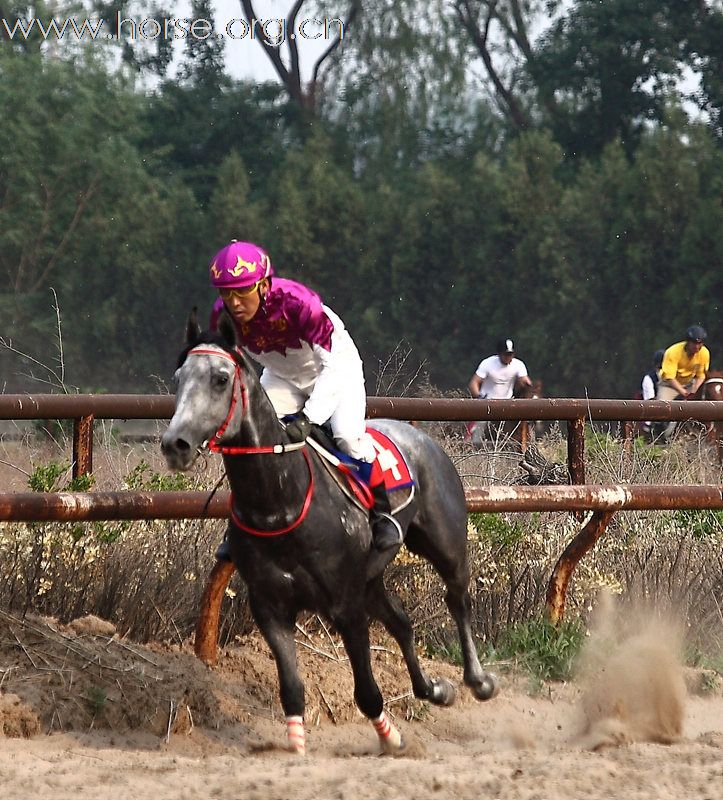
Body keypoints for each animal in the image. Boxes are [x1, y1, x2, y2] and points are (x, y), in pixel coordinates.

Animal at [160, 312, 498, 756]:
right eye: (179, 376)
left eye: (219, 378)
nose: (175, 444)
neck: (281, 501)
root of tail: (423, 436)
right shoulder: (270, 606)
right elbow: (291, 688)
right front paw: (296, 747)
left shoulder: (345, 605)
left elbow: (367, 693)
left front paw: (390, 739)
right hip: (371, 577)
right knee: (401, 622)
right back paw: (434, 690)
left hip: (445, 544)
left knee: (457, 598)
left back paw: (477, 680)